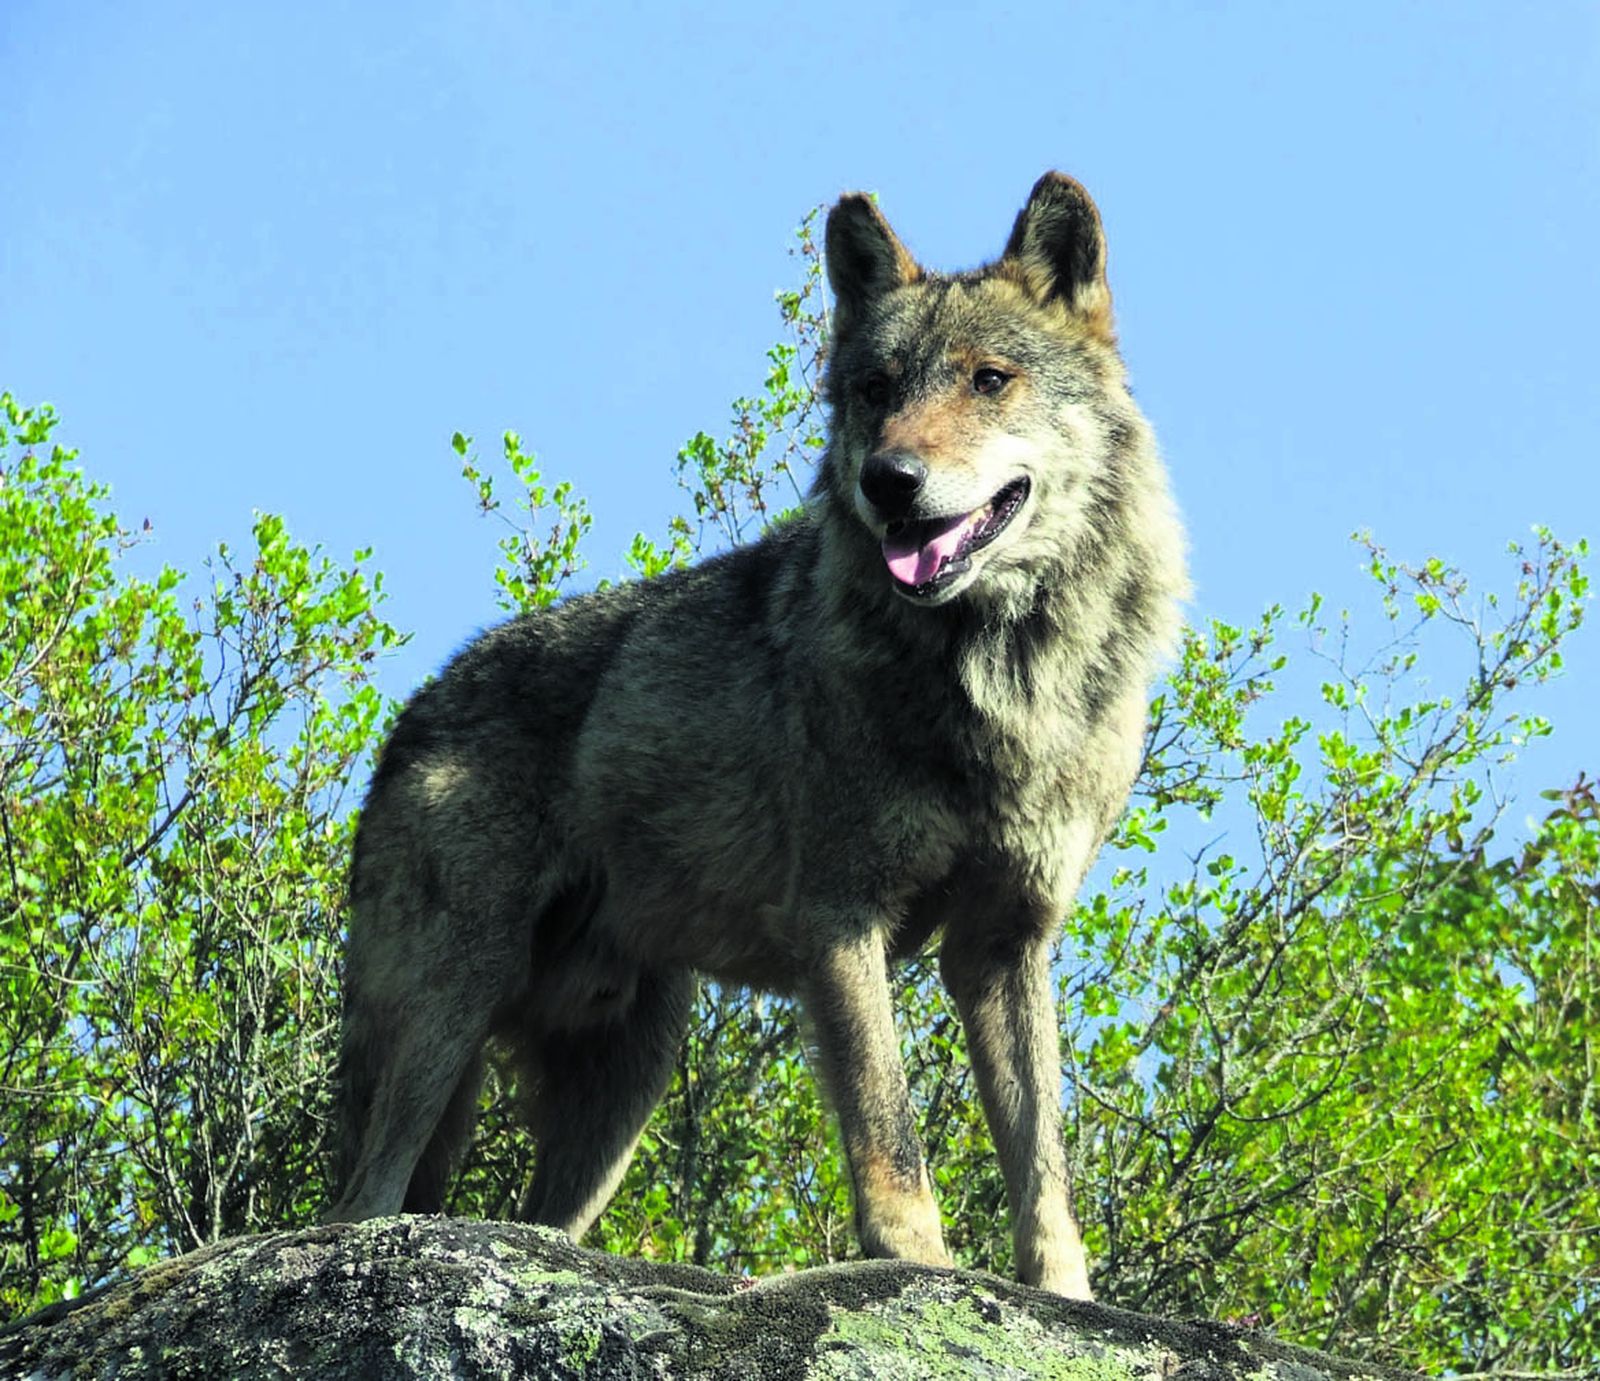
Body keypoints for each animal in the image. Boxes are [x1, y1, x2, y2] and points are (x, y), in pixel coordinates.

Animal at [328, 172, 1186, 1300]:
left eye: (989, 380)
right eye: (875, 389)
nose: (888, 481)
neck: (1000, 680)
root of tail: (414, 708)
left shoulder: (1004, 943)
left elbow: (1041, 1156)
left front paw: (1064, 1296)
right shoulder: (839, 917)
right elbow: (888, 1119)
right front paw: (915, 1264)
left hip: (625, 1088)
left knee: (530, 1220)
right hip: (451, 1017)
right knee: (361, 1203)